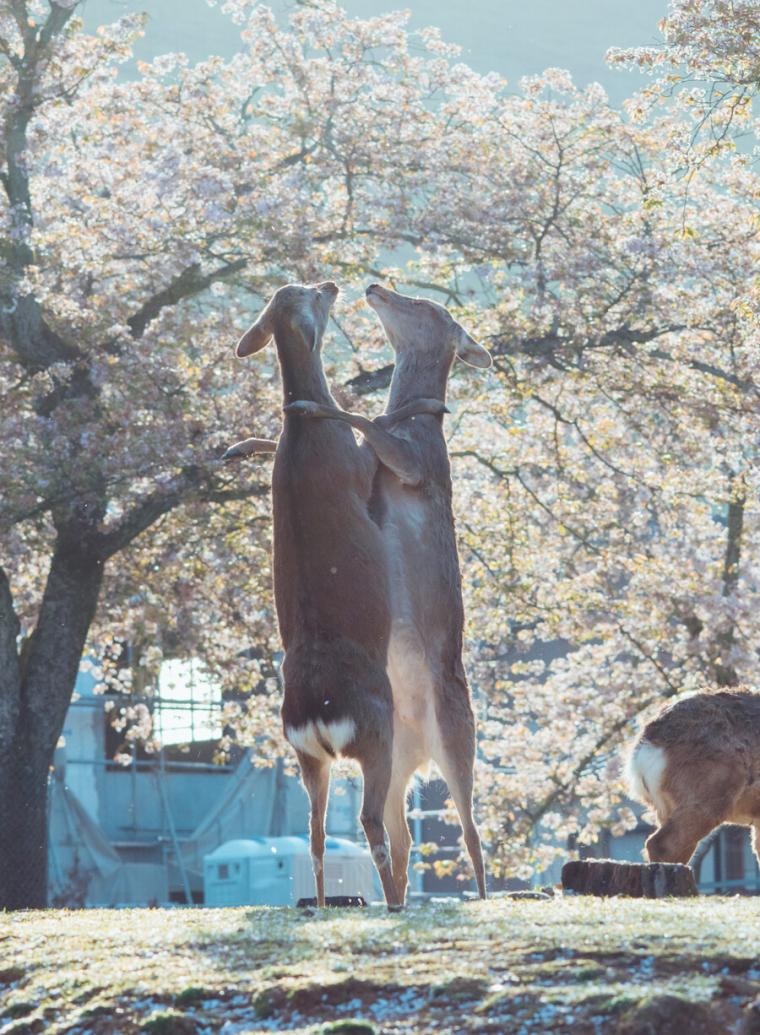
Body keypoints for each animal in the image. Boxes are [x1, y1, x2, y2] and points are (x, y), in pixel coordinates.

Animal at [234, 281, 447, 906]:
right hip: (379, 735)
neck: (304, 443)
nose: (331, 284)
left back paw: (326, 902)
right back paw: (395, 900)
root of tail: (320, 716)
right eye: (311, 295)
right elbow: (371, 432)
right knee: (372, 821)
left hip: (305, 756)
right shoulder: (361, 467)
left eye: (294, 289)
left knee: (314, 834)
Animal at [287, 285, 494, 906]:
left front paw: (308, 407)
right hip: (397, 761)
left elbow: (365, 421)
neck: (416, 425)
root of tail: (420, 749)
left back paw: (480, 895)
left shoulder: (416, 465)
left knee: (471, 829)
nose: (378, 287)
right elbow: (368, 426)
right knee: (400, 837)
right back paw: (396, 899)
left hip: (457, 734)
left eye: (425, 306)